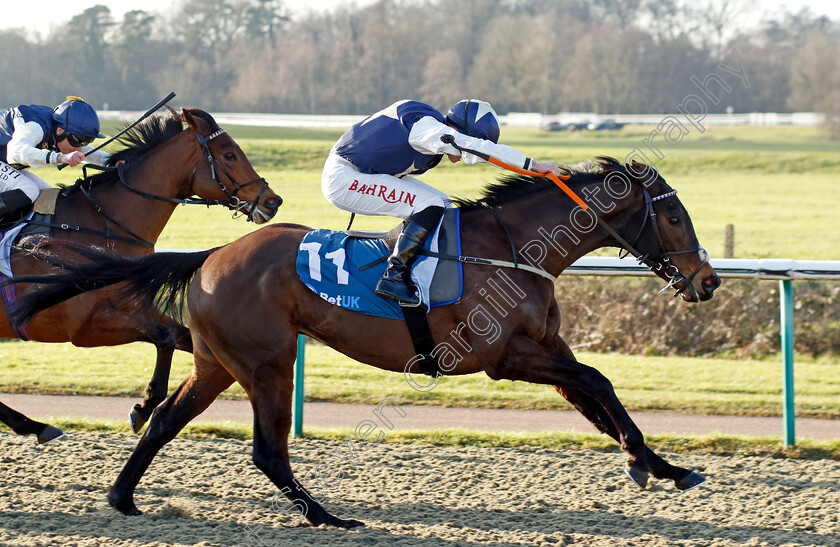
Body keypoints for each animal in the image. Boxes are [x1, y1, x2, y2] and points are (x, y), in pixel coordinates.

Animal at [0, 106, 282, 446]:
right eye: (229, 155)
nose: (272, 201)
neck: (101, 226)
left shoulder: (135, 306)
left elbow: (178, 336)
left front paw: (147, 405)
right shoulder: (82, 328)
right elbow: (163, 334)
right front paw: (145, 406)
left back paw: (34, 425)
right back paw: (34, 425)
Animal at [6, 157, 720, 528]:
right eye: (674, 214)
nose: (708, 280)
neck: (517, 248)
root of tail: (211, 254)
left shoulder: (547, 350)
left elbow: (598, 396)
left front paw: (657, 464)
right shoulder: (503, 358)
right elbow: (599, 382)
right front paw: (648, 462)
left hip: (216, 363)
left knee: (163, 424)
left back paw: (122, 496)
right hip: (267, 362)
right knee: (267, 449)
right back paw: (327, 518)